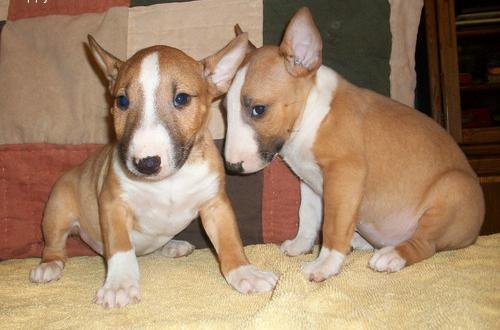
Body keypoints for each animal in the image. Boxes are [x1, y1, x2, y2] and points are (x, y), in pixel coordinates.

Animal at [29, 33, 278, 306]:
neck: (169, 181)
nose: (146, 164)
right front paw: (119, 285)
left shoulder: (216, 204)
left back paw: (172, 246)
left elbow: (229, 240)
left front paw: (245, 272)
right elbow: (120, 247)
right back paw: (49, 266)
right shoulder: (113, 204)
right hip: (58, 208)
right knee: (54, 245)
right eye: (122, 101)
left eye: (181, 98)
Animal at [224, 7, 484, 282]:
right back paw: (361, 242)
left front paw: (325, 265)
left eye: (258, 109)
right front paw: (300, 245)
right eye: (224, 109)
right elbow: (307, 215)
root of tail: (474, 233)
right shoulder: (310, 182)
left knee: (426, 244)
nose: (232, 167)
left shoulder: (345, 174)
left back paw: (392, 255)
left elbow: (333, 225)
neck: (311, 116)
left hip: (452, 189)